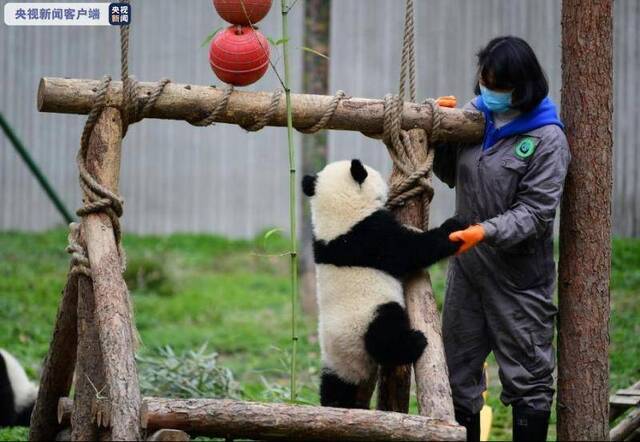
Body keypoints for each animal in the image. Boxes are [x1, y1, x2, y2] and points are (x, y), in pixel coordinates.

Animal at [302, 158, 468, 408]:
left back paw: (335, 403)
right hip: (370, 317)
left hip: (333, 360)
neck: (338, 216)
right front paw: (454, 227)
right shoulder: (371, 236)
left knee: (333, 386)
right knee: (385, 336)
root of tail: (351, 358)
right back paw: (414, 342)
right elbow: (413, 250)